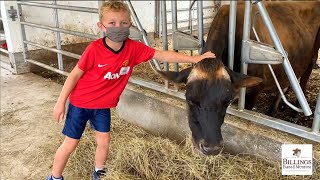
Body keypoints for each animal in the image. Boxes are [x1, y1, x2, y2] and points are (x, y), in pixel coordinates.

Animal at [158, 1, 320, 155]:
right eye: (190, 99)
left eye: (227, 101)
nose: (212, 148)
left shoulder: (252, 92)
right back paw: (272, 110)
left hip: (312, 59)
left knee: (303, 83)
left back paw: (294, 114)